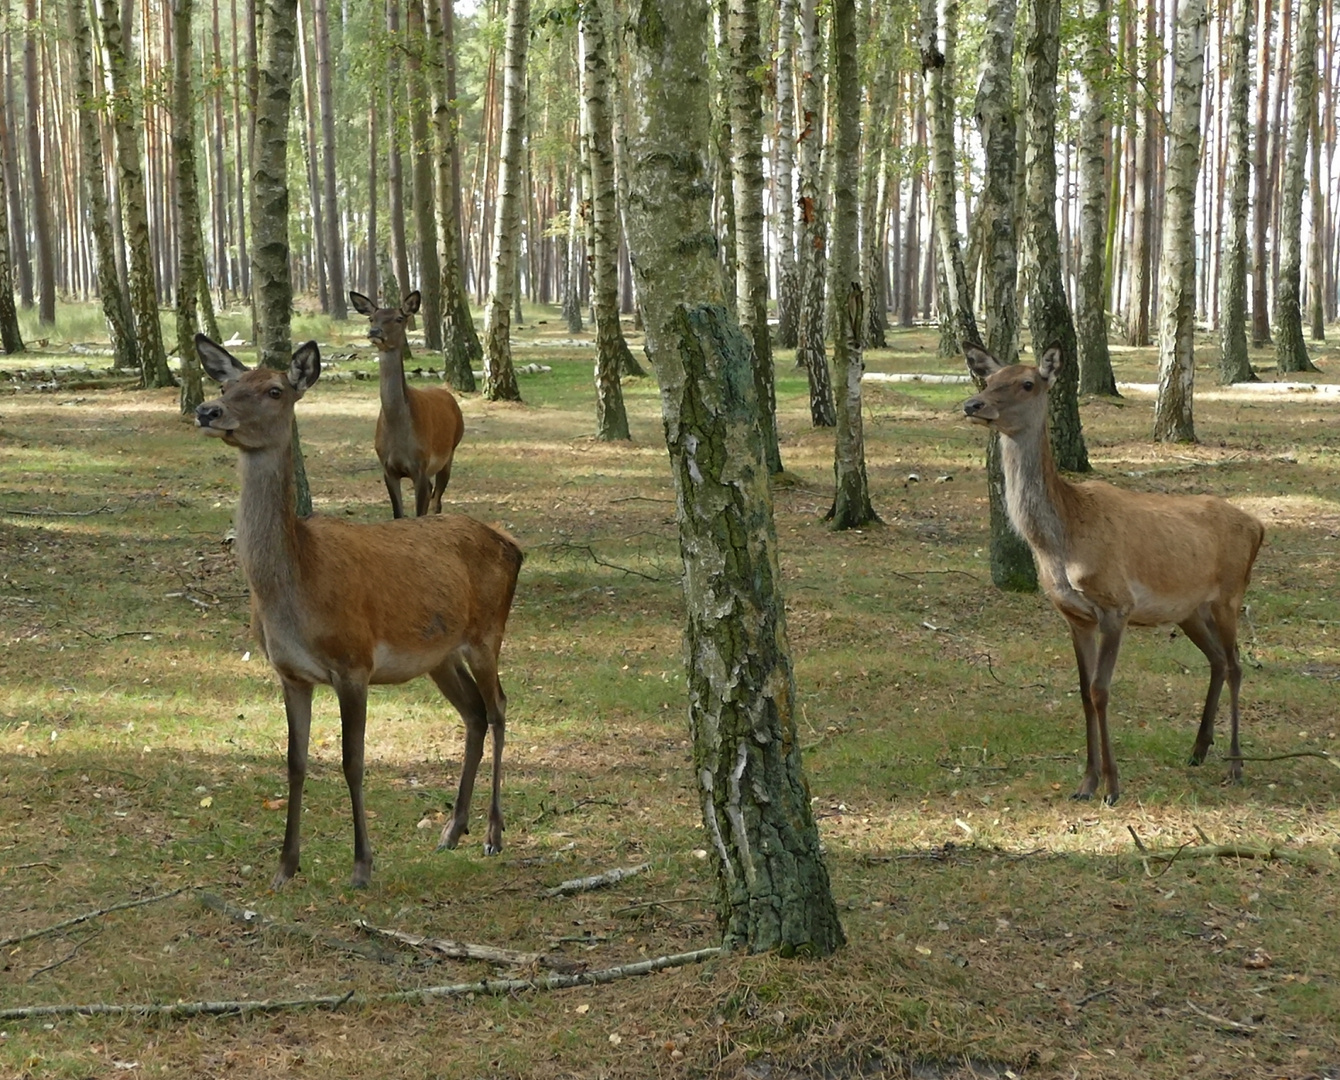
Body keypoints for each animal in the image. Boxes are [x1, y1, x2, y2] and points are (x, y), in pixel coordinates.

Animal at [194, 336, 522, 889]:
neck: (295, 589)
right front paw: (285, 867)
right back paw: (452, 831)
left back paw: (494, 834)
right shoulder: (290, 673)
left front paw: (362, 865)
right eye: (226, 383)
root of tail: (515, 547)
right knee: (474, 713)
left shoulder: (354, 663)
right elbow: (295, 762)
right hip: (439, 655)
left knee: (498, 705)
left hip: (487, 631)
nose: (207, 411)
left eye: (275, 389)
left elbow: (353, 761)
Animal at [351, 292, 466, 519]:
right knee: (433, 492)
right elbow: (398, 515)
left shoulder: (419, 466)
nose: (374, 332)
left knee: (437, 499)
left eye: (399, 318)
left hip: (450, 451)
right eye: (371, 318)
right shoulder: (388, 468)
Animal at [964, 343, 1264, 809]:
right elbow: (1083, 692)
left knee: (1235, 665)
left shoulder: (1116, 604)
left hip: (1229, 594)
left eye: (1027, 383)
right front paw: (1085, 784)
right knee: (1216, 660)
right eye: (988, 379)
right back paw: (1197, 750)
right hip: (1189, 609)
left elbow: (1101, 690)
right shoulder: (1074, 615)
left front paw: (1112, 786)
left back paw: (1234, 766)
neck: (1061, 541)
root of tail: (1259, 526)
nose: (973, 405)